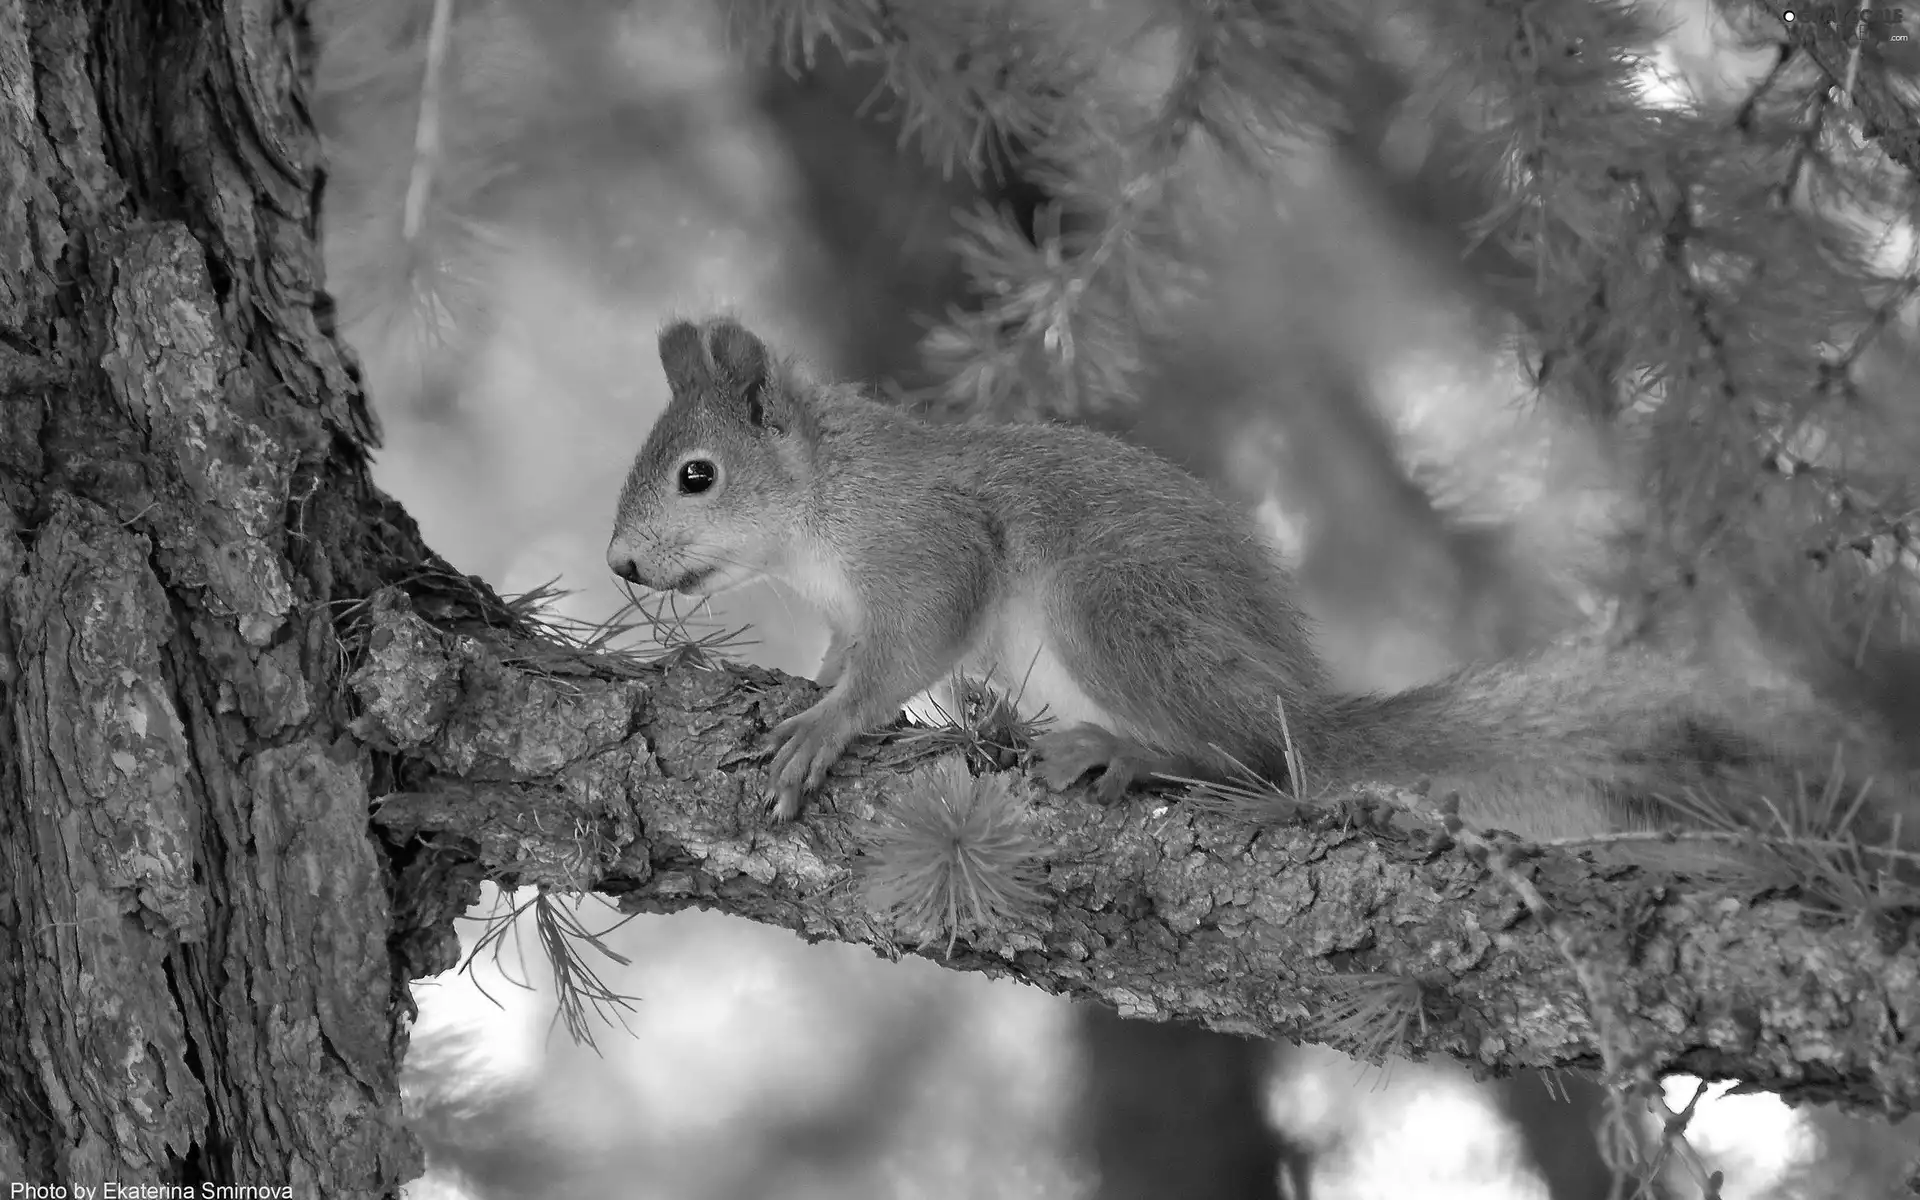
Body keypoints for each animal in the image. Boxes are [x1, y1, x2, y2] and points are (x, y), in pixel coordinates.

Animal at [606, 312, 1912, 848]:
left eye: (696, 476)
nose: (618, 563)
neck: (819, 512)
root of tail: (1300, 695)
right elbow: (851, 651)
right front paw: (811, 689)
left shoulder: (928, 542)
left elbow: (909, 650)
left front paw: (826, 725)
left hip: (1112, 610)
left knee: (1257, 760)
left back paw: (1133, 754)